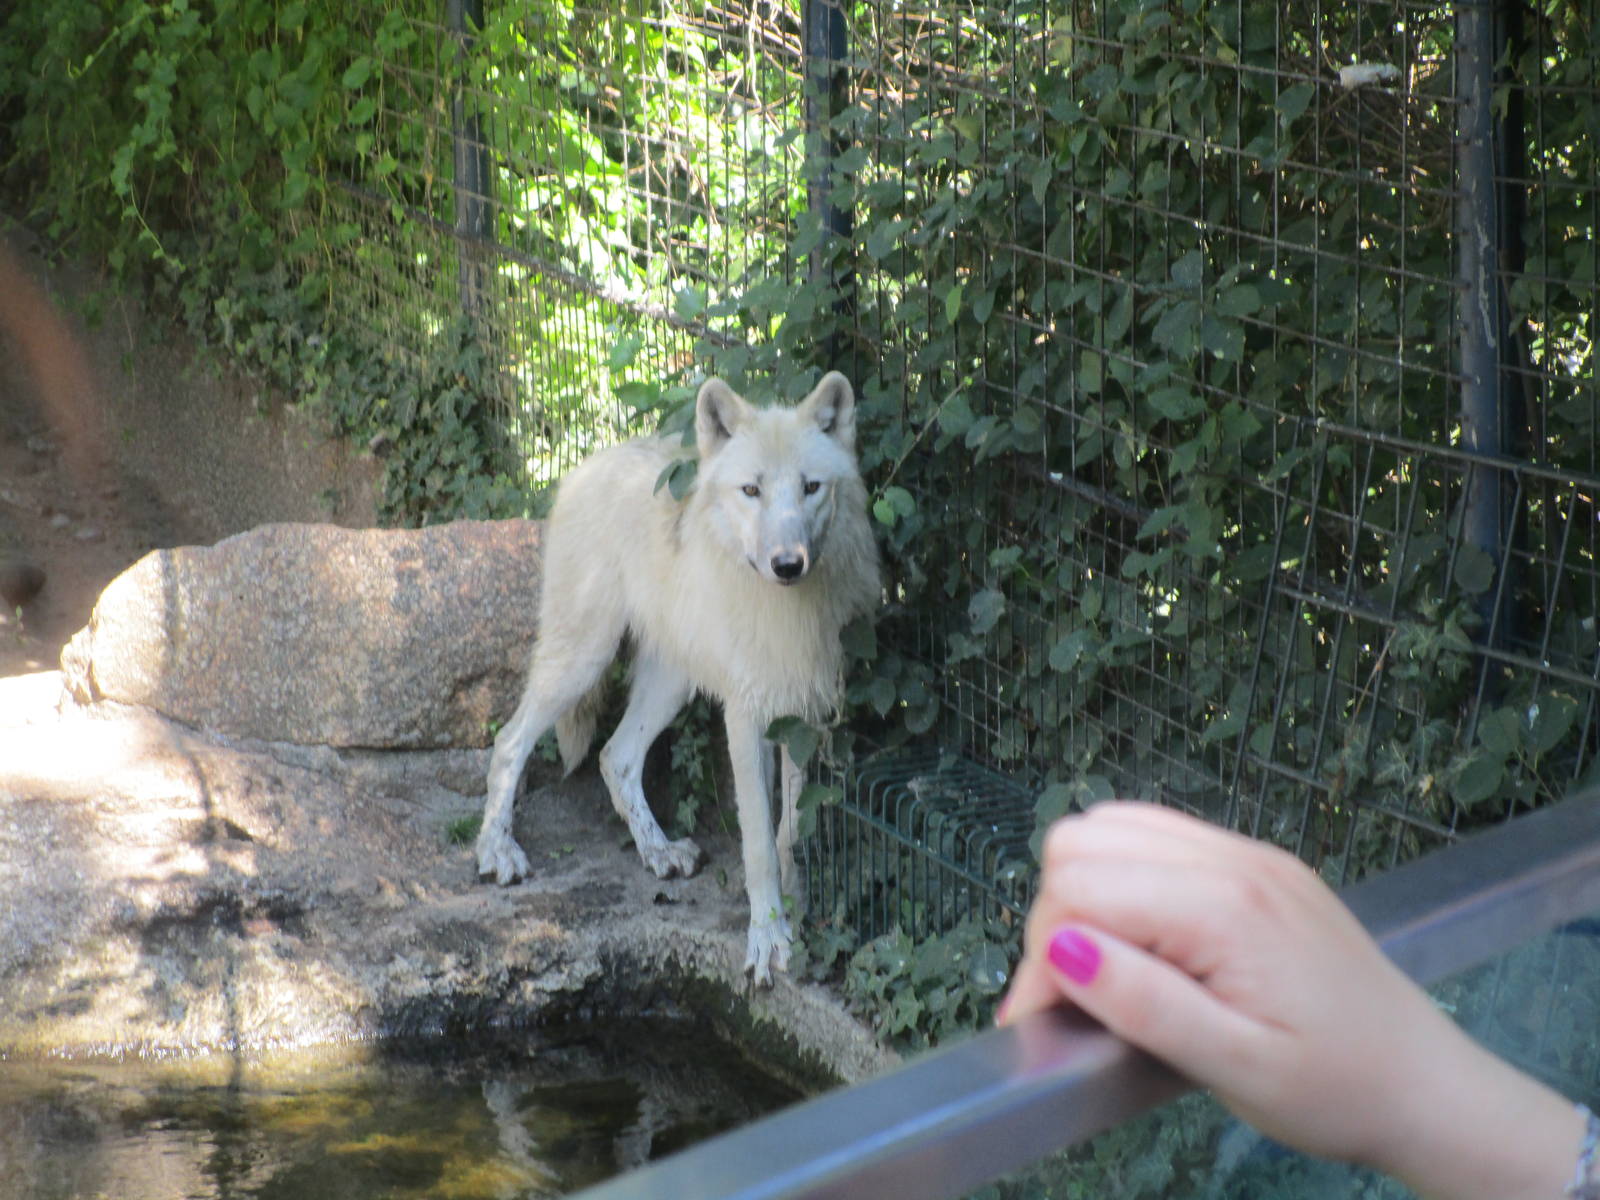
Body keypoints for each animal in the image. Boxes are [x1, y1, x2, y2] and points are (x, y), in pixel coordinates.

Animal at [475, 371, 881, 985]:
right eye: (751, 490)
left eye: (811, 487)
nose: (789, 564)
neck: (785, 613)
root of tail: (588, 465)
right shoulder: (746, 717)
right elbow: (758, 845)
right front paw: (767, 938)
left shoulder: (806, 716)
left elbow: (791, 833)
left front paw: (797, 907)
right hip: (583, 660)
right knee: (510, 741)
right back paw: (497, 853)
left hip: (670, 685)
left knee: (615, 757)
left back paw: (659, 853)